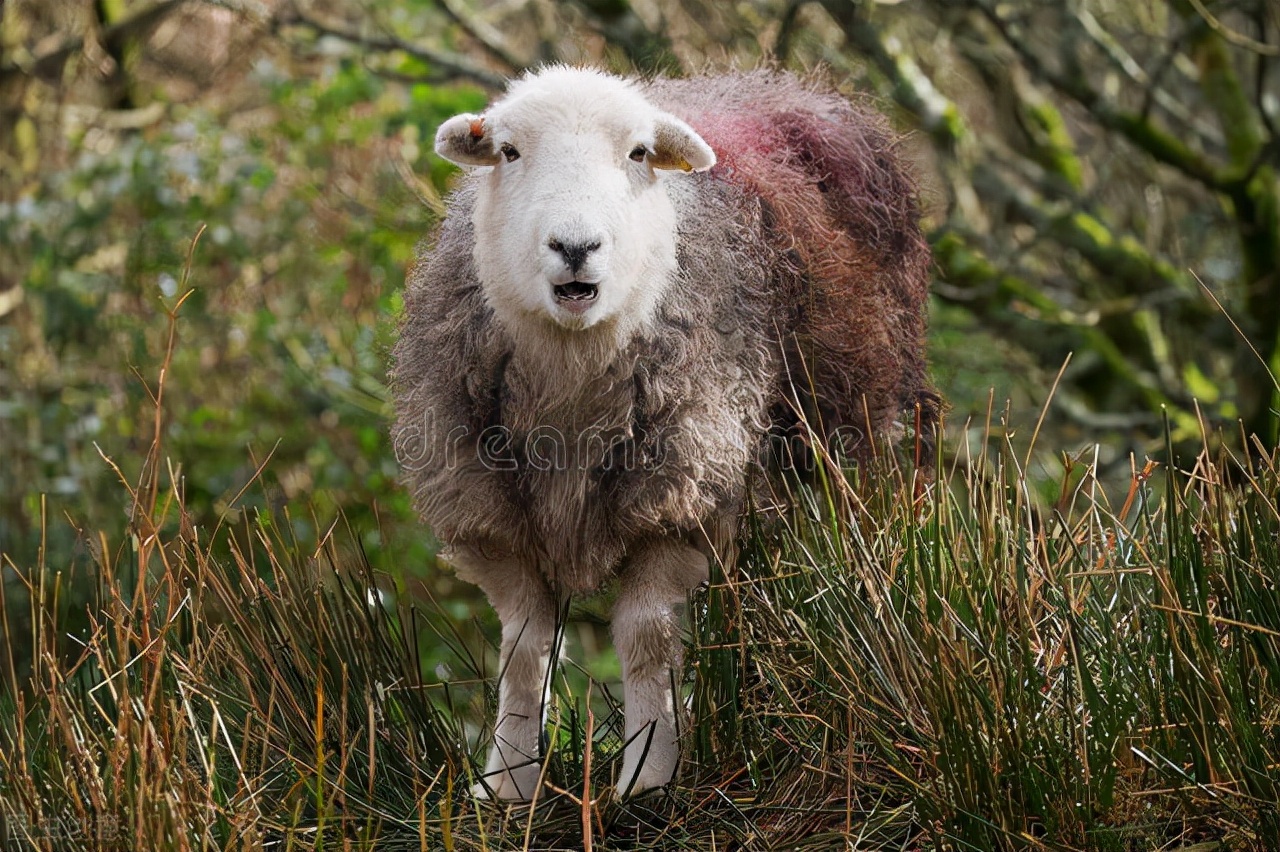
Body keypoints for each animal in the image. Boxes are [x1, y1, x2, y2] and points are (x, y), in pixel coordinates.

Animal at [389, 64, 942, 798]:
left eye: (638, 153)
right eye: (508, 151)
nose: (575, 247)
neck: (573, 379)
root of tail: (785, 86)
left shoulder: (680, 498)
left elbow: (645, 635)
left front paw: (648, 776)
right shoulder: (491, 513)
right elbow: (524, 646)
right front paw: (508, 782)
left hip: (857, 425)